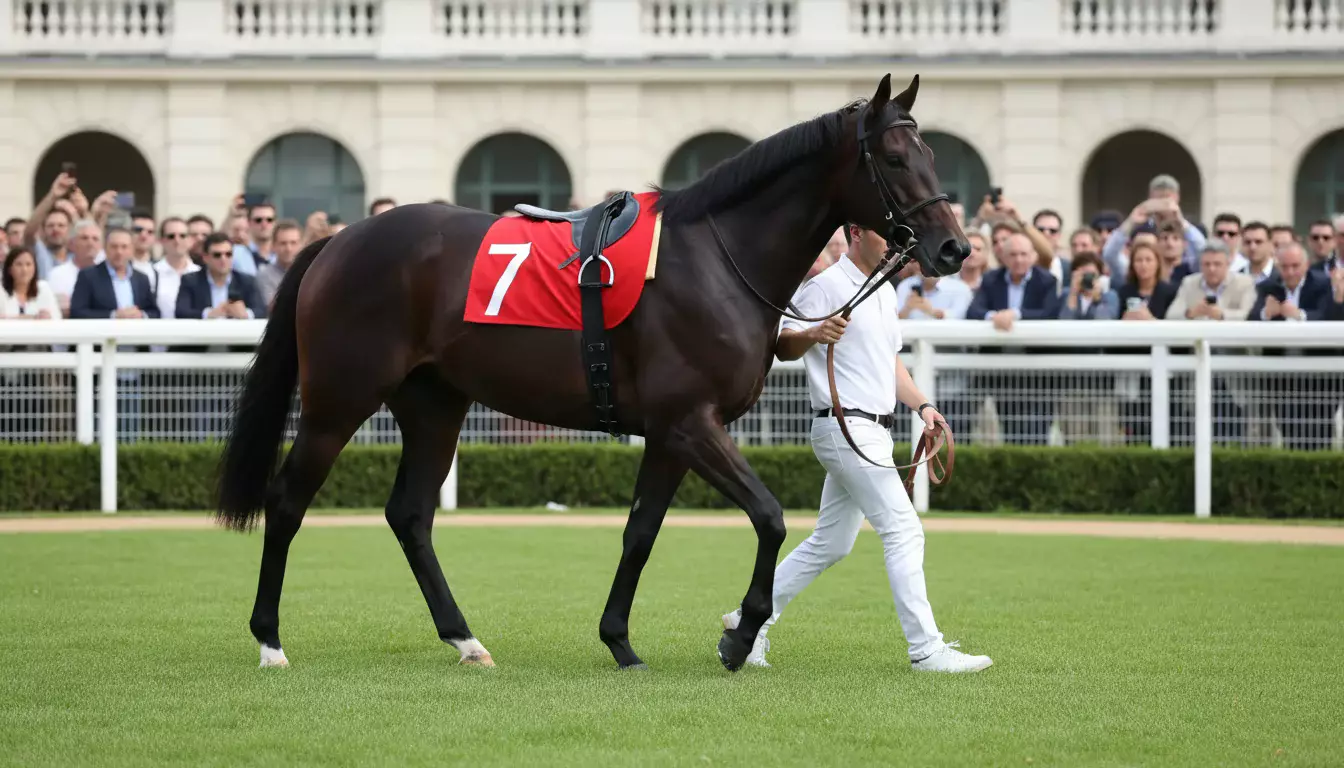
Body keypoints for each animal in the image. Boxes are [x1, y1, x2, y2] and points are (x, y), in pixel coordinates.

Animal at [214, 73, 970, 672]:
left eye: (935, 155)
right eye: (896, 158)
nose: (954, 248)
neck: (716, 258)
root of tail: (337, 241)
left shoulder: (670, 434)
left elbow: (641, 532)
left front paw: (621, 641)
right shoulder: (690, 423)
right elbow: (769, 516)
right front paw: (739, 634)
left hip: (434, 403)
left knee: (410, 514)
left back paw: (464, 640)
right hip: (339, 399)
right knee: (287, 501)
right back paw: (270, 641)